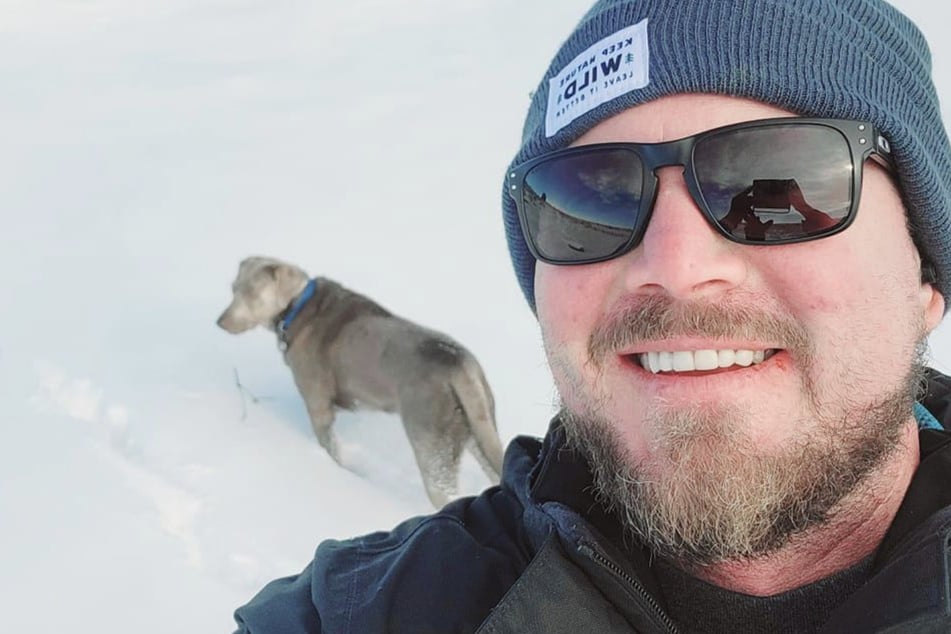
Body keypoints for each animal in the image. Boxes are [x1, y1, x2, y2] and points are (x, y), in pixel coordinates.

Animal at [218, 254, 506, 506]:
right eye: (233, 289)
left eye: (253, 293)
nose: (220, 321)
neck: (296, 308)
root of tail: (460, 364)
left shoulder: (317, 401)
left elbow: (330, 445)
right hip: (476, 426)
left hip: (431, 440)